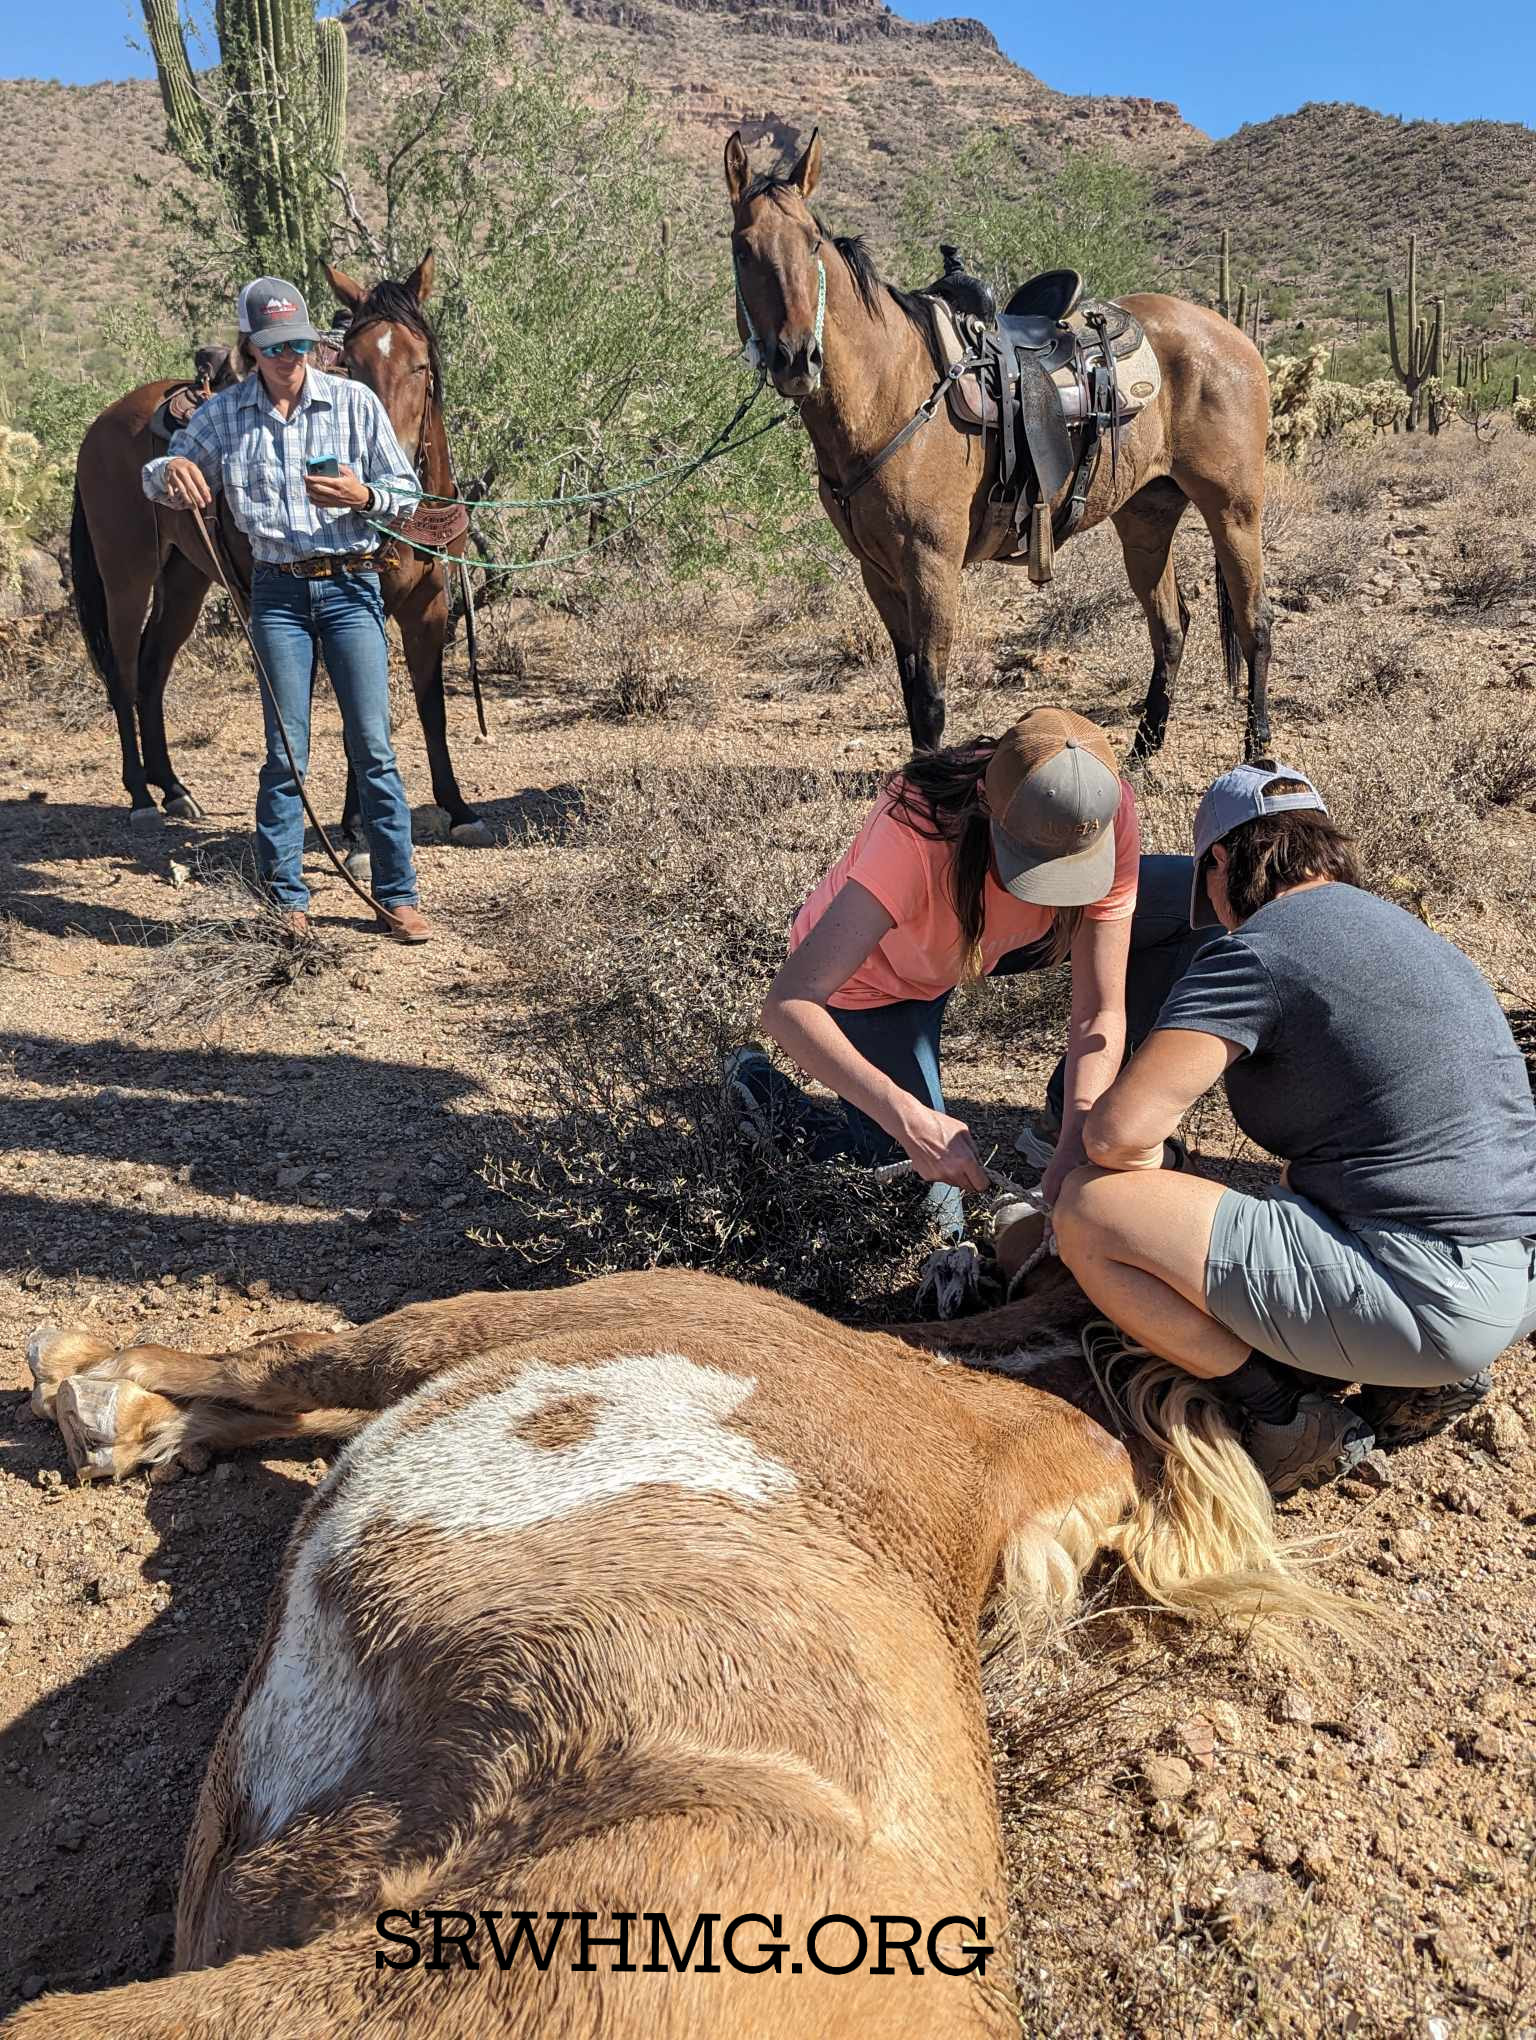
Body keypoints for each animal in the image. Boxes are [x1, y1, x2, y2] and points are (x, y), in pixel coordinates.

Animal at [68, 257, 487, 852]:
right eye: (353, 366)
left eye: (421, 364)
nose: (387, 460)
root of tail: (104, 422)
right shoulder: (363, 607)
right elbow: (359, 720)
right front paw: (358, 830)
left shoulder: (427, 607)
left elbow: (432, 710)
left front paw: (457, 808)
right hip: (127, 575)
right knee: (124, 669)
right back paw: (142, 797)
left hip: (185, 578)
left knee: (154, 664)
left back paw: (173, 788)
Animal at [726, 131, 1272, 767]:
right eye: (743, 249)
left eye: (813, 243)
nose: (796, 359)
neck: (893, 389)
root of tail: (1232, 335)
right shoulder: (878, 572)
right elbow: (911, 690)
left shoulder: (931, 565)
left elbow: (931, 697)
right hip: (1146, 516)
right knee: (1170, 625)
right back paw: (1143, 749)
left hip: (1233, 510)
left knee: (1256, 623)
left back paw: (1259, 750)